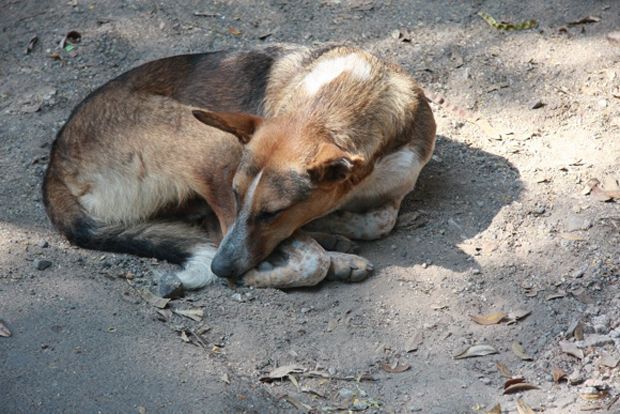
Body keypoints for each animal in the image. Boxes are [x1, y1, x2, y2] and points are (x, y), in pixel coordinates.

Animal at [43, 43, 436, 290]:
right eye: (236, 194)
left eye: (272, 213)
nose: (221, 269)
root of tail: (54, 164)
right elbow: (312, 258)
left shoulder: (396, 186)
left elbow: (380, 222)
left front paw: (336, 225)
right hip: (213, 144)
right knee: (223, 233)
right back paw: (334, 257)